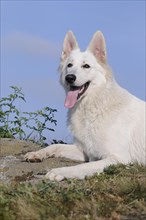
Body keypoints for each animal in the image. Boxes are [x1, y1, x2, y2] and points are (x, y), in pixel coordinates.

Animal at [24, 31, 145, 182]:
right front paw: (38, 153)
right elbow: (56, 146)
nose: (70, 77)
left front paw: (60, 171)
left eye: (86, 66)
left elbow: (83, 166)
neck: (93, 106)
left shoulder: (118, 158)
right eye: (69, 65)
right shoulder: (84, 150)